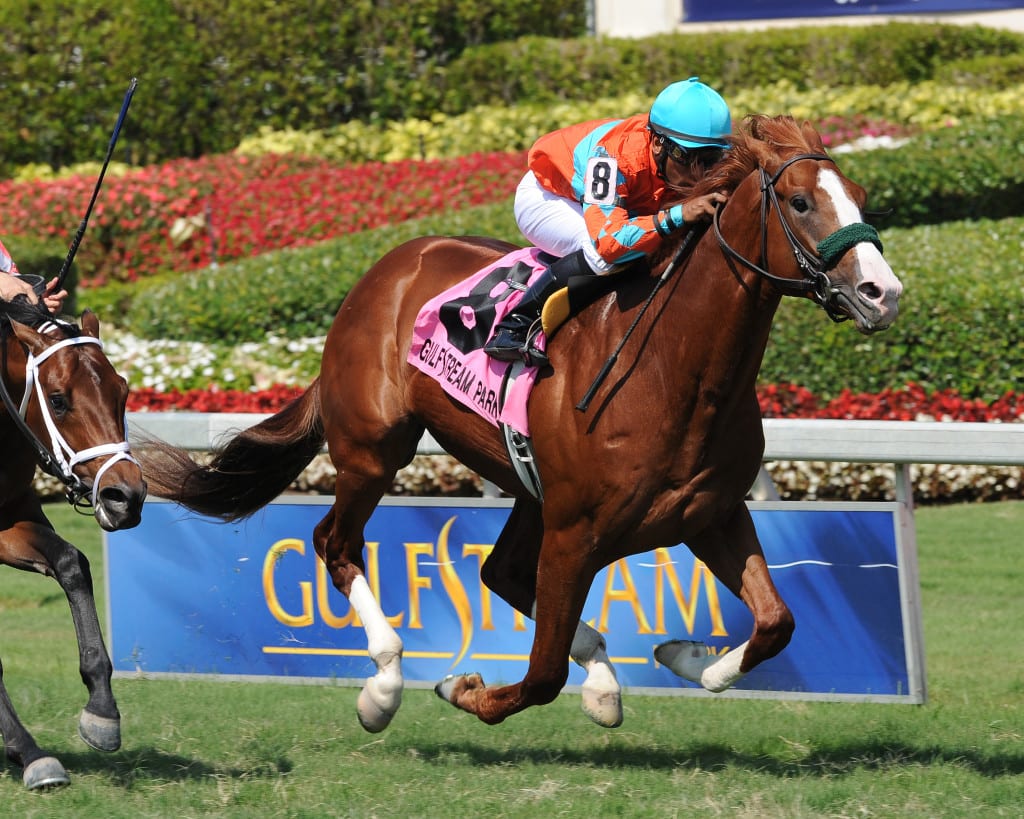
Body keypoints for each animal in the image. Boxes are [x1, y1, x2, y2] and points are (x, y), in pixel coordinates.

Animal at [0, 303, 148, 790]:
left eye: (122, 391)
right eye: (59, 399)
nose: (125, 497)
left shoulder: (10, 517)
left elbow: (71, 562)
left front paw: (102, 711)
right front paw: (27, 751)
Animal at [140, 113, 901, 728]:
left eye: (861, 199)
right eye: (800, 201)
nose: (882, 292)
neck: (674, 371)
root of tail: (385, 267)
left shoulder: (710, 511)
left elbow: (776, 622)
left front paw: (687, 656)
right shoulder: (574, 532)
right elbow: (541, 673)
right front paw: (464, 689)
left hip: (526, 486)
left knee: (500, 572)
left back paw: (602, 683)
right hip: (374, 449)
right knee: (336, 543)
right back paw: (384, 685)